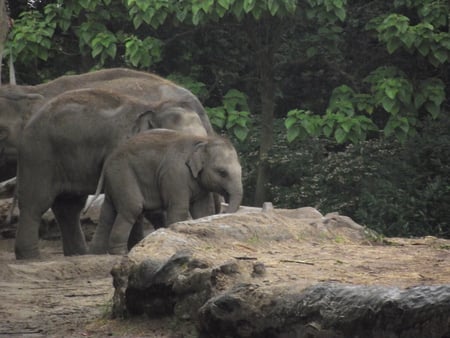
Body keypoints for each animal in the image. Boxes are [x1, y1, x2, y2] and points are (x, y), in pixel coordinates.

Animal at [89, 128, 243, 255]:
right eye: (222, 172)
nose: (224, 211)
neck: (202, 141)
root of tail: (108, 161)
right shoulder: (175, 175)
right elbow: (179, 209)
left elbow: (202, 210)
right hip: (123, 176)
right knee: (132, 208)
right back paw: (120, 253)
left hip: (115, 182)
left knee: (107, 213)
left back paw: (97, 253)